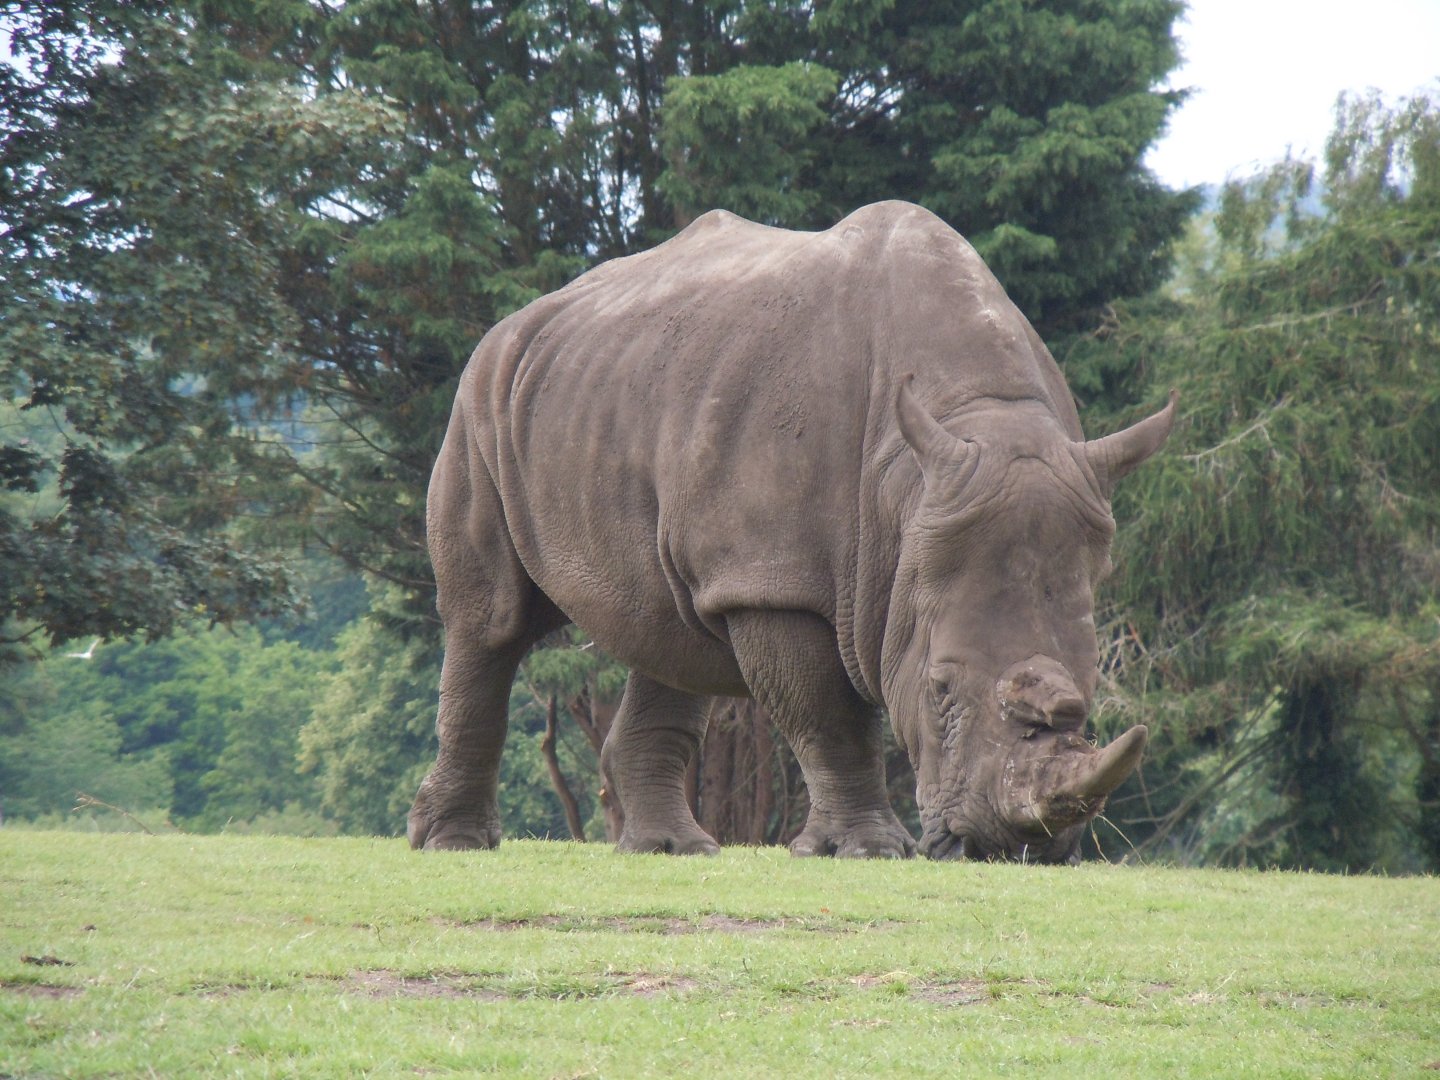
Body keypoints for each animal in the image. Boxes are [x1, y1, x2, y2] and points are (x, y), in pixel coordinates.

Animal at [410, 200, 1175, 864]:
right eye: (939, 690)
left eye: (1093, 687)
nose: (1012, 848)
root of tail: (526, 316)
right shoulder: (775, 577)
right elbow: (826, 713)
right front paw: (868, 851)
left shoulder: (775, 564)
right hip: (482, 397)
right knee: (492, 622)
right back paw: (454, 845)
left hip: (629, 388)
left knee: (670, 629)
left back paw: (673, 850)